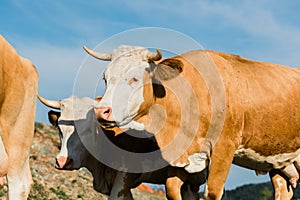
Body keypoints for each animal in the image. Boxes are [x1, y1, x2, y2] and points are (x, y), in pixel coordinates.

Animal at [84, 44, 300, 199]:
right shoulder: (183, 151)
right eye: (105, 78)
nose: (102, 111)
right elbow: (171, 188)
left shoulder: (225, 146)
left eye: (135, 79)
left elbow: (212, 192)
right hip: (281, 163)